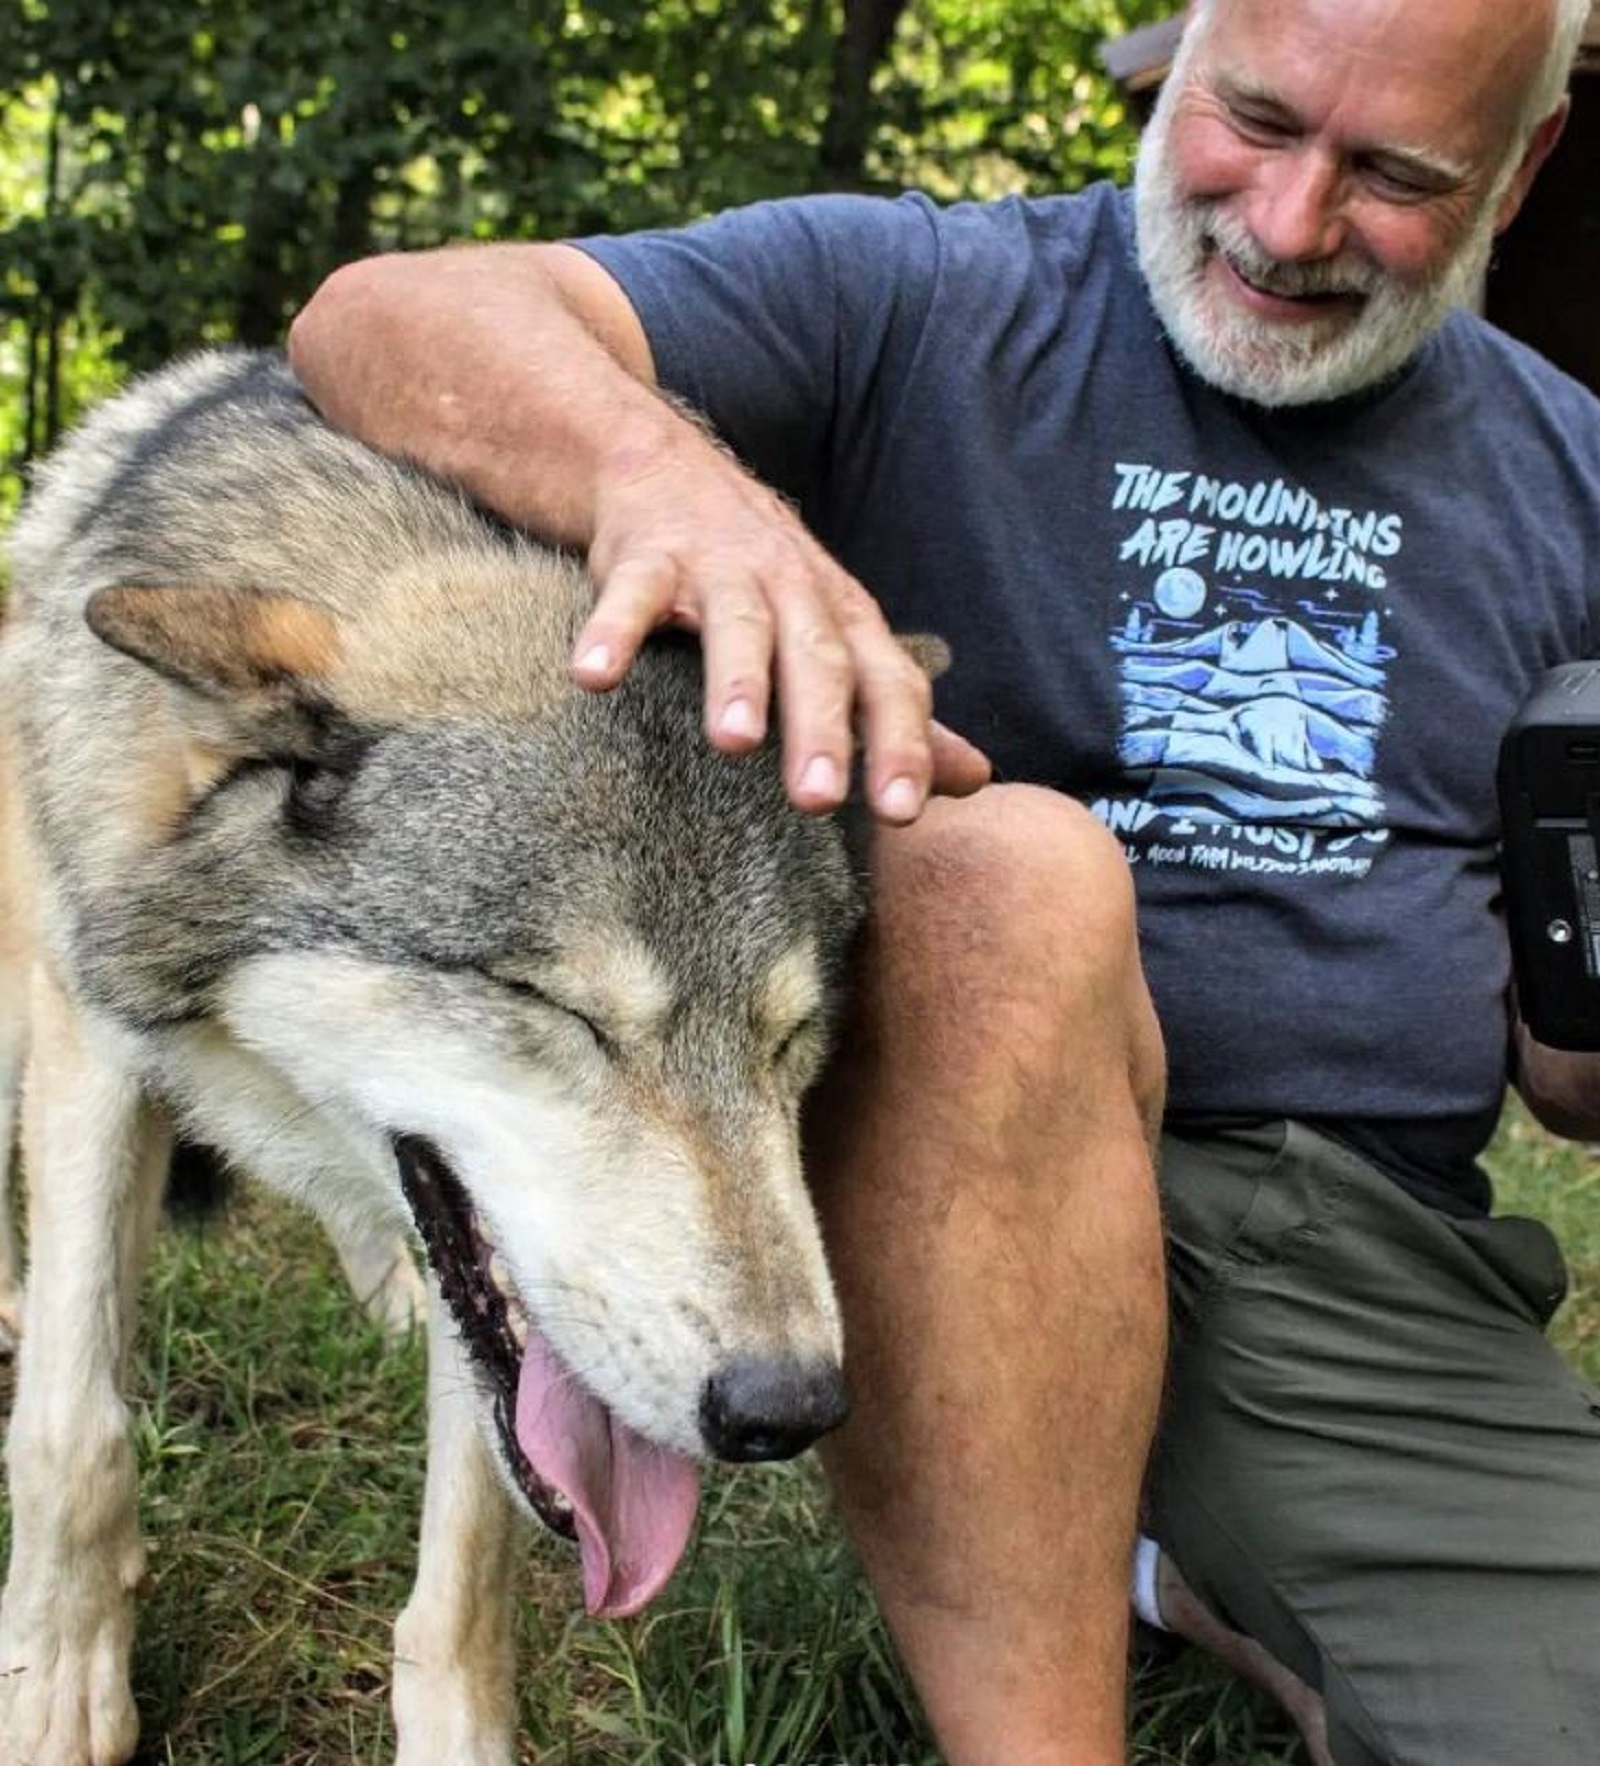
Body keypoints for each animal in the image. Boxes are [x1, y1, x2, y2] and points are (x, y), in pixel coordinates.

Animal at [0, 347, 865, 1766]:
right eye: (555, 1006)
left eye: (789, 1036)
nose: (786, 1408)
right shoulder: (94, 1047)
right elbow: (75, 1429)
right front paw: (61, 1683)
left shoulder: (496, 1296)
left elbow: (470, 1560)